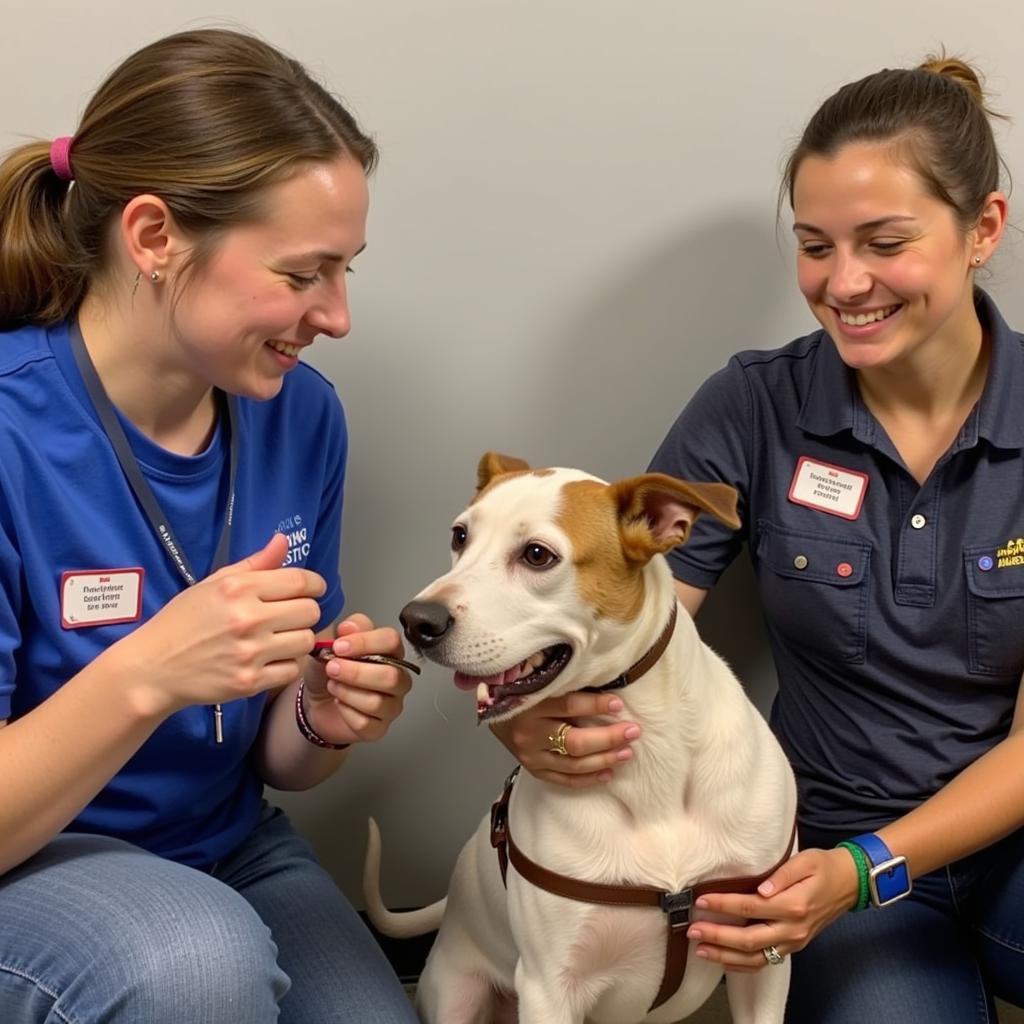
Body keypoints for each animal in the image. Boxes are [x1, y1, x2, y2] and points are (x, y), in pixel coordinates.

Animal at [364, 456, 794, 1024]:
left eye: (537, 555)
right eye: (460, 536)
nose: (415, 620)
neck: (653, 760)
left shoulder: (762, 959)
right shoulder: (549, 988)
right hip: (458, 994)